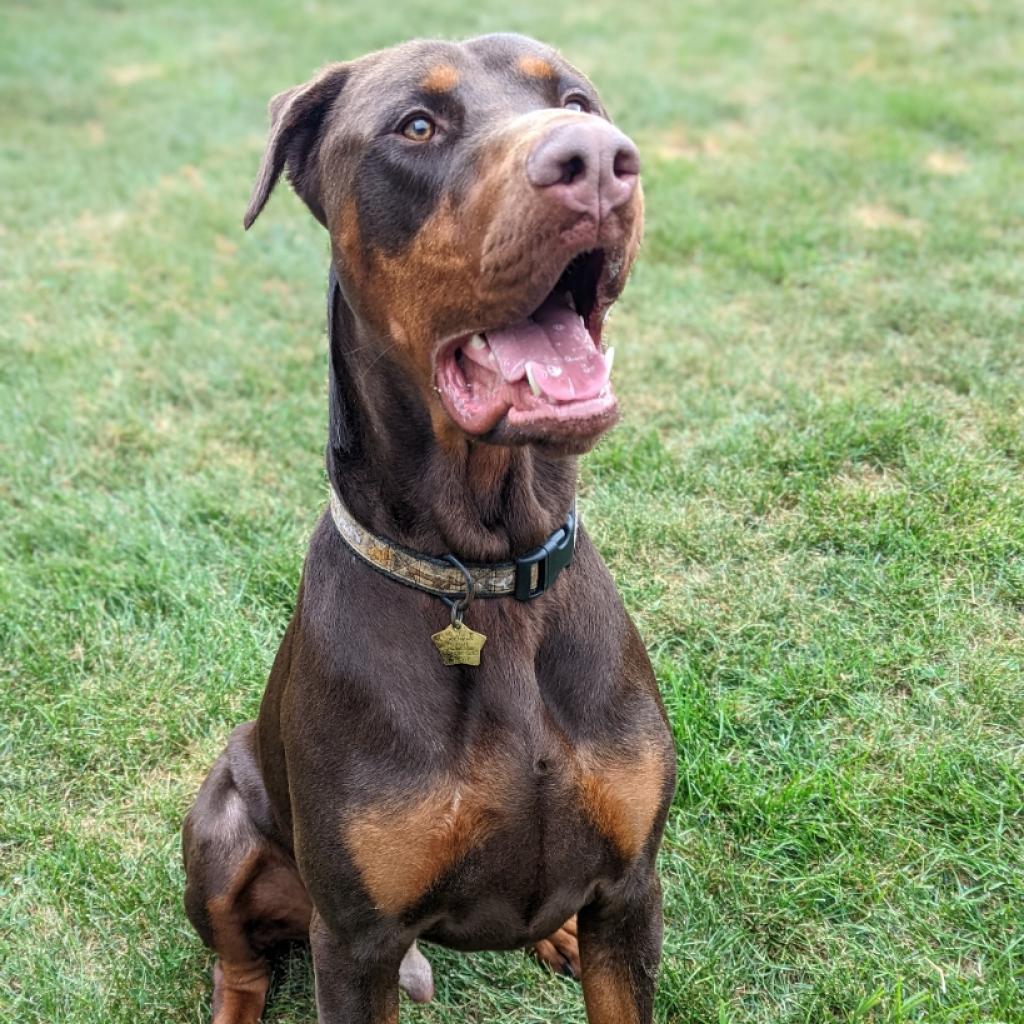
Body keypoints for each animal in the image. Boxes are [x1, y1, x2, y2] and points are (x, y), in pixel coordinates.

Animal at [182, 32, 679, 1024]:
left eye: (577, 102)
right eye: (416, 125)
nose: (596, 160)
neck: (482, 571)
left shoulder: (631, 893)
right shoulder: (358, 943)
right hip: (217, 828)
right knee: (239, 962)